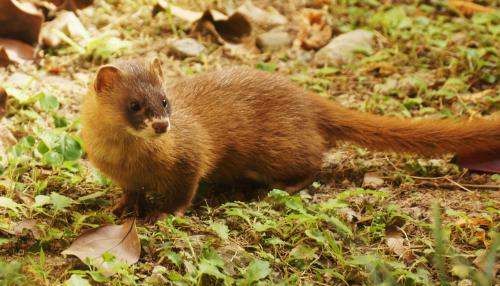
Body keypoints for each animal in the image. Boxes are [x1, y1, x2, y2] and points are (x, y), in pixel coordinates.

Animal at [82, 59, 500, 220]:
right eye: (135, 104)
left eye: (166, 100)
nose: (162, 126)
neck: (129, 159)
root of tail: (305, 97)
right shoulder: (121, 174)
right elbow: (130, 192)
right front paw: (120, 207)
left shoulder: (190, 158)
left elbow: (185, 190)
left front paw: (166, 213)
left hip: (277, 149)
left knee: (315, 161)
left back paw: (278, 189)